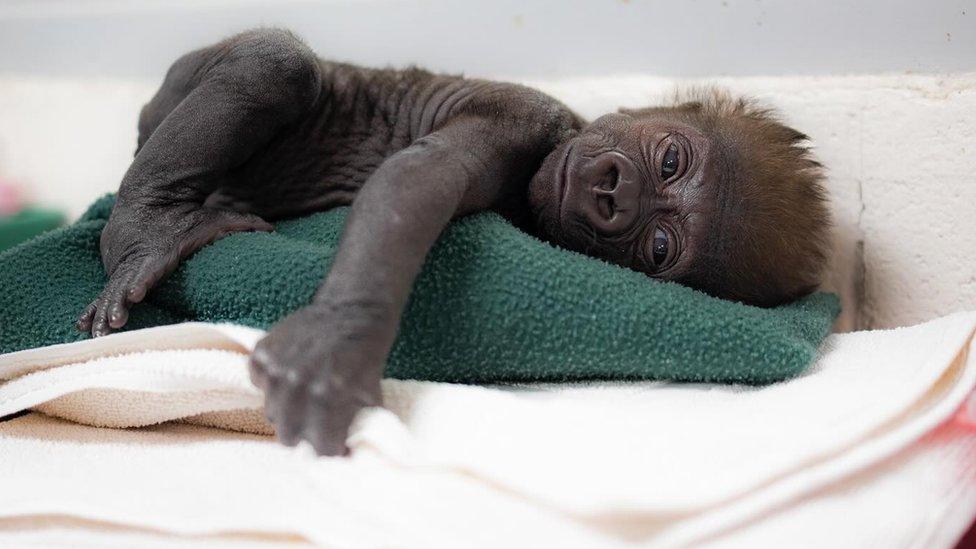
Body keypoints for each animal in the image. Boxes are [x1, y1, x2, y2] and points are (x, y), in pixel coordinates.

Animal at [76, 27, 832, 454]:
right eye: (670, 159)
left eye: (658, 249)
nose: (614, 193)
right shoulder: (527, 116)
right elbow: (413, 178)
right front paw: (341, 339)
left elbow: (412, 183)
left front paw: (339, 338)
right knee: (277, 61)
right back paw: (147, 225)